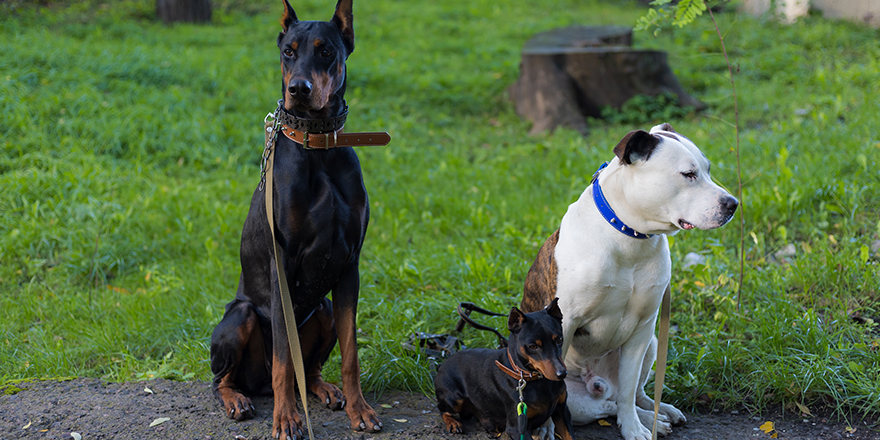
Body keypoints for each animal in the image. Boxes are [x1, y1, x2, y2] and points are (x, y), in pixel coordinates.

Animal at [209, 0, 382, 438]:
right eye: (288, 51)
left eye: (326, 51)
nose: (299, 89)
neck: (318, 146)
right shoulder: (281, 266)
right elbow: (284, 362)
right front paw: (287, 419)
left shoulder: (349, 265)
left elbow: (351, 353)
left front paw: (361, 410)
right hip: (241, 316)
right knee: (222, 378)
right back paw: (237, 399)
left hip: (322, 308)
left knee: (312, 366)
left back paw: (326, 390)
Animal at [434, 300, 576, 440]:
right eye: (532, 346)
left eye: (559, 339)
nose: (562, 374)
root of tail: (442, 364)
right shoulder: (517, 428)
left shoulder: (562, 411)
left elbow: (570, 435)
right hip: (454, 399)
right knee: (442, 409)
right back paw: (454, 423)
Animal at [520, 123, 740, 440]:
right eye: (688, 174)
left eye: (708, 169)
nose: (733, 204)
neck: (630, 237)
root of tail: (597, 383)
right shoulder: (566, 321)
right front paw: (547, 427)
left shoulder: (642, 327)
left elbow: (627, 390)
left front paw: (634, 427)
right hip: (578, 400)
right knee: (603, 407)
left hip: (652, 343)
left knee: (626, 396)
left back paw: (655, 414)